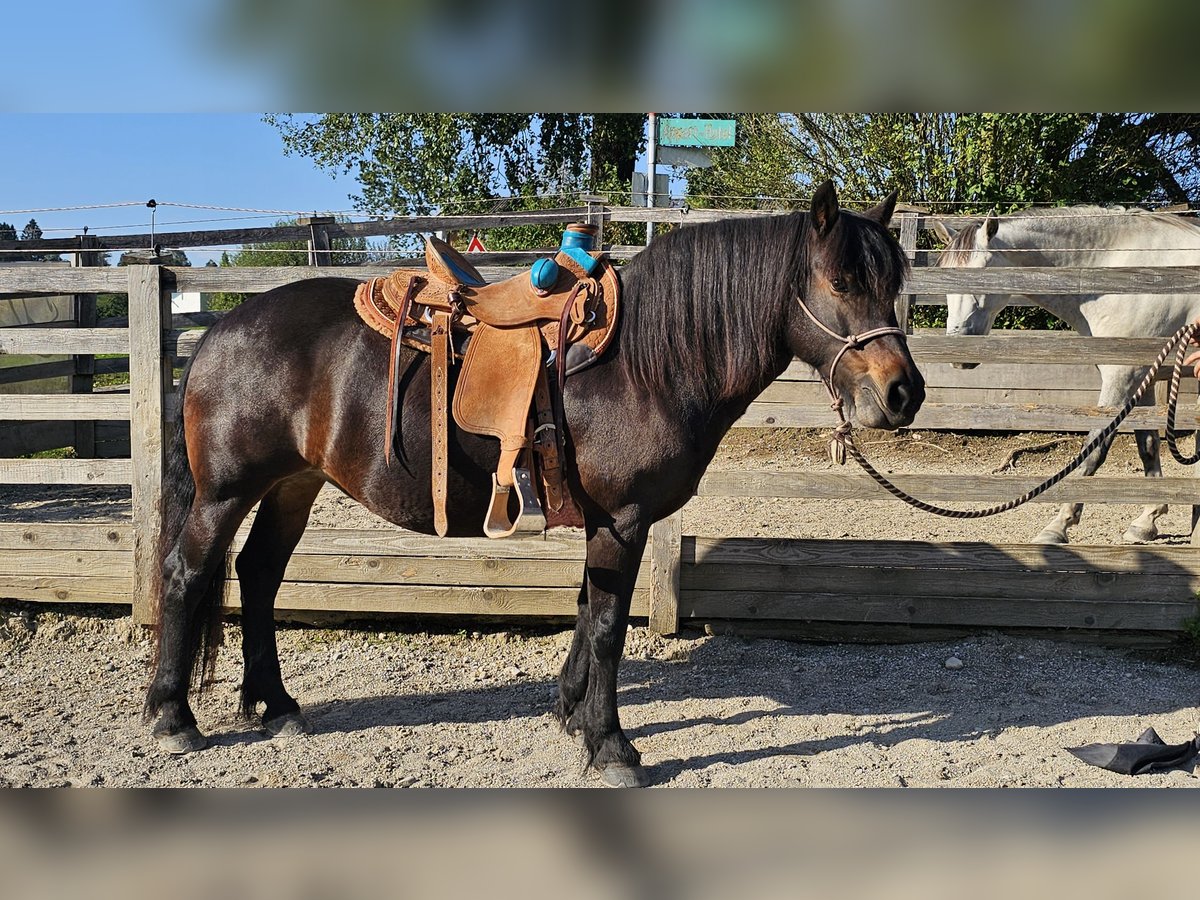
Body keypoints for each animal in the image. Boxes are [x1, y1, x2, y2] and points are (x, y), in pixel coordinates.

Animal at [145, 184, 921, 787]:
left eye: (893, 286)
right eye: (841, 284)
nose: (902, 394)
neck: (646, 363)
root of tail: (221, 330)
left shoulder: (607, 522)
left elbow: (585, 611)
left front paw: (569, 712)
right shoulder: (623, 520)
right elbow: (607, 627)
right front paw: (611, 745)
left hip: (293, 484)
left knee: (258, 574)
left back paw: (276, 707)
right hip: (226, 492)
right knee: (188, 573)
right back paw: (173, 716)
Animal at [936, 207, 1200, 547]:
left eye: (982, 274)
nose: (958, 349)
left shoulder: (1122, 377)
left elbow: (1094, 450)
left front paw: (1059, 524)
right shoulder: (1142, 377)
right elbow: (1148, 444)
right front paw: (1147, 520)